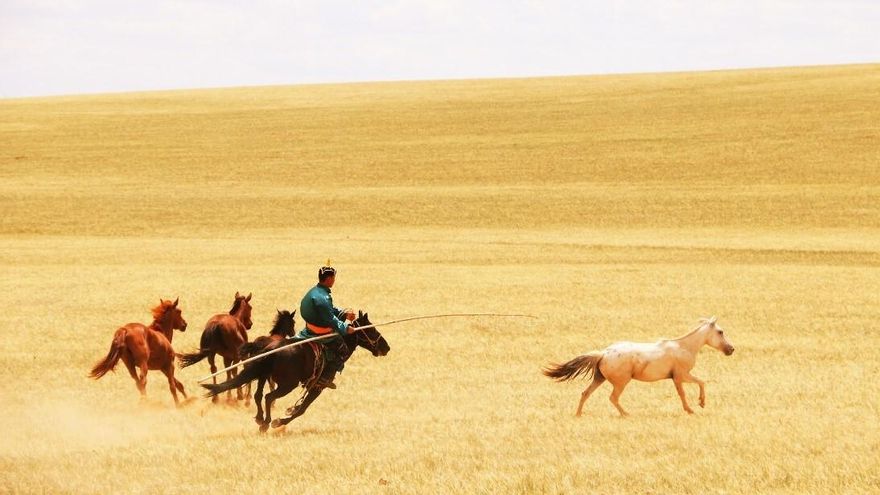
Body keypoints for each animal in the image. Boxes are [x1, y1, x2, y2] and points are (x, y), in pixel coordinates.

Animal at [202, 311, 390, 432]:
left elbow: (299, 407)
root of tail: (271, 349)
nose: (386, 347)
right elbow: (302, 409)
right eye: (371, 329)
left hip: (263, 374)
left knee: (258, 395)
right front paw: (280, 421)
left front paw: (287, 412)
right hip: (287, 384)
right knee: (268, 397)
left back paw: (259, 418)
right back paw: (266, 423)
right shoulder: (318, 385)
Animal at [543, 316, 735, 417]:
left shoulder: (678, 377)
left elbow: (693, 387)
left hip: (599, 378)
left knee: (585, 393)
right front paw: (696, 406)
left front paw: (696, 406)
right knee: (613, 398)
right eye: (720, 332)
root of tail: (603, 353)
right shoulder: (681, 376)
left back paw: (578, 414)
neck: (684, 347)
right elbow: (696, 386)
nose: (731, 349)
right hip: (621, 382)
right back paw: (626, 414)